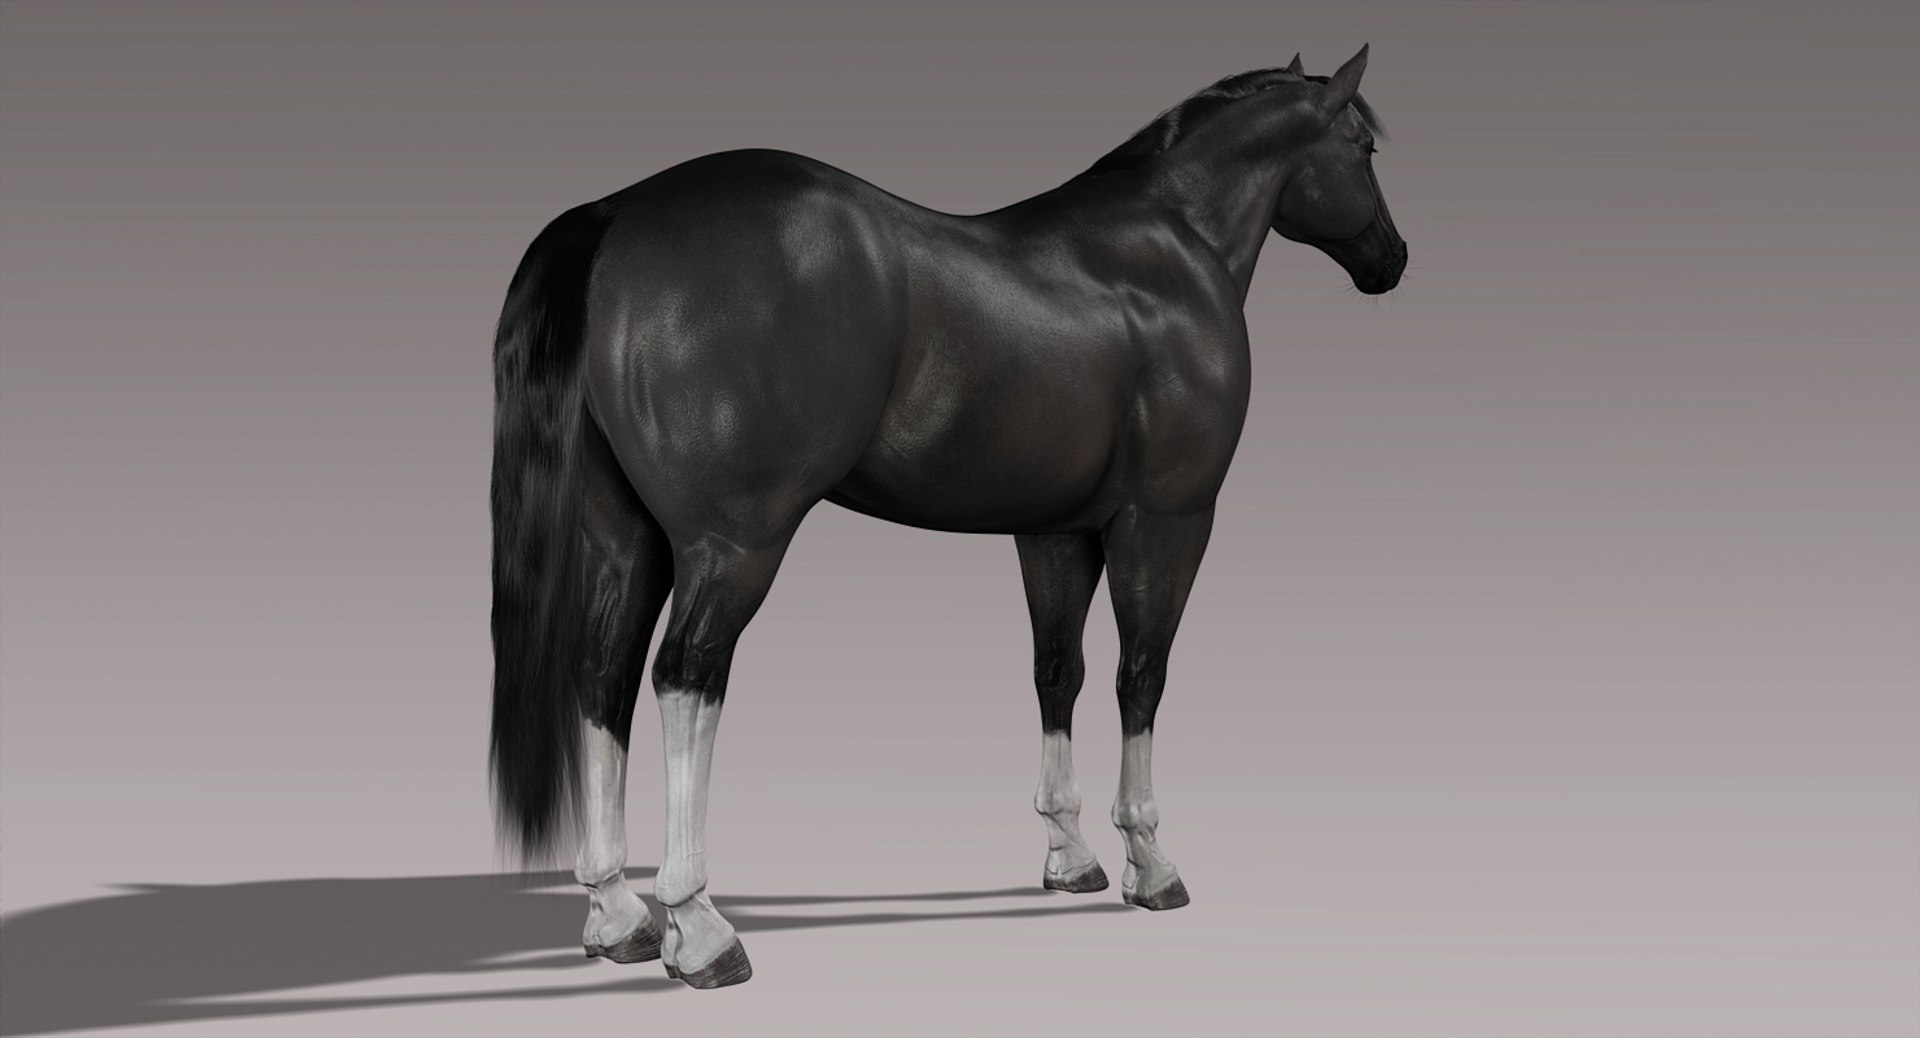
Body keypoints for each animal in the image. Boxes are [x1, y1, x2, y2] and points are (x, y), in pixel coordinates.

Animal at [489, 44, 1405, 989]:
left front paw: (1070, 857)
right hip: (731, 546)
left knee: (602, 675)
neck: (1167, 253)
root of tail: (617, 215)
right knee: (683, 678)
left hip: (625, 542)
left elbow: (1057, 673)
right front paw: (1150, 863)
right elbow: (1140, 678)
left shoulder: (1054, 531)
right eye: (1365, 146)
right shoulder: (1168, 520)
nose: (1391, 259)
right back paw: (699, 928)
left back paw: (616, 914)